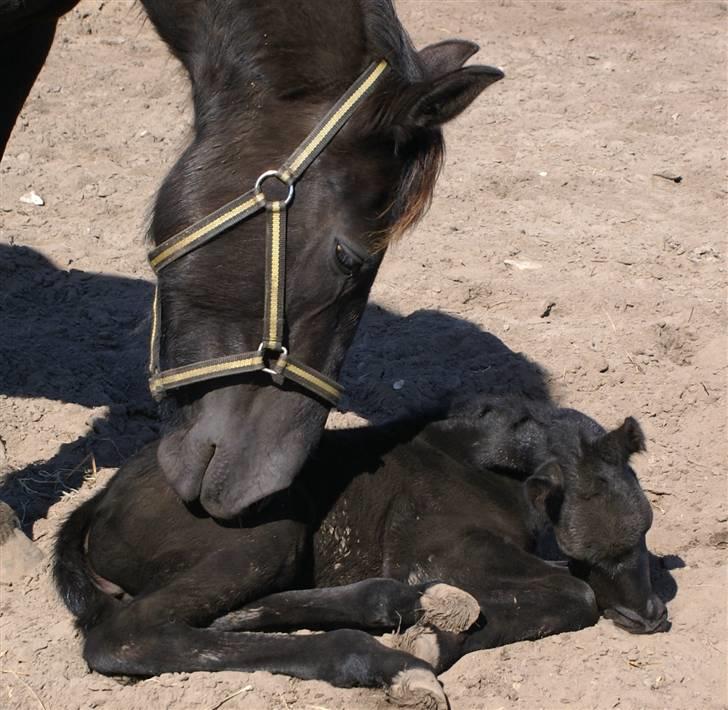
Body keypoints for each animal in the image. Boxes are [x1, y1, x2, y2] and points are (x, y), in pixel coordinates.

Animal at [54, 398, 668, 708]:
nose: (652, 617)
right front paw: (434, 640)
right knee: (128, 635)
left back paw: (399, 606)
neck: (483, 466)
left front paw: (434, 621)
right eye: (599, 547)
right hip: (269, 532)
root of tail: (100, 497)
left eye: (646, 528)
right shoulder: (442, 550)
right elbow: (577, 593)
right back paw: (389, 662)